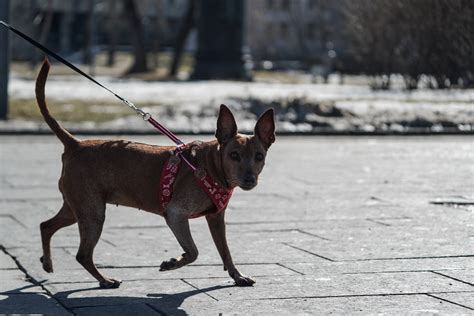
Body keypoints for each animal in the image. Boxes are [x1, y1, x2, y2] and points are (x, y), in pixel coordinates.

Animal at [36, 59, 274, 288]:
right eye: (234, 155)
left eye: (259, 156)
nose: (250, 179)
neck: (209, 166)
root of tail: (75, 144)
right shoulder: (176, 214)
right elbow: (193, 251)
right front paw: (173, 262)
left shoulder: (216, 219)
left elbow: (225, 252)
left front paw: (237, 276)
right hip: (92, 212)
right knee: (82, 254)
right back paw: (105, 280)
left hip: (77, 208)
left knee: (46, 226)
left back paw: (47, 262)